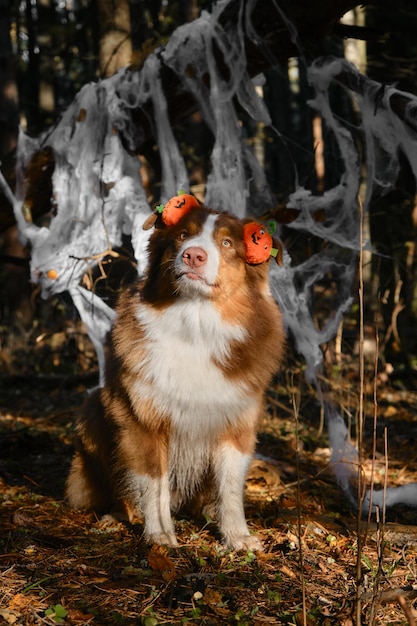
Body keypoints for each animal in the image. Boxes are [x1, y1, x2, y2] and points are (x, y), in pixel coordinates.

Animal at [66, 202, 282, 548]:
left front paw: (237, 536)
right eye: (182, 235)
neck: (196, 323)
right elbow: (153, 482)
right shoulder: (142, 418)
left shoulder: (237, 421)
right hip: (94, 408)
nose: (193, 255)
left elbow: (230, 486)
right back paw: (118, 516)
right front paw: (159, 533)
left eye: (227, 243)